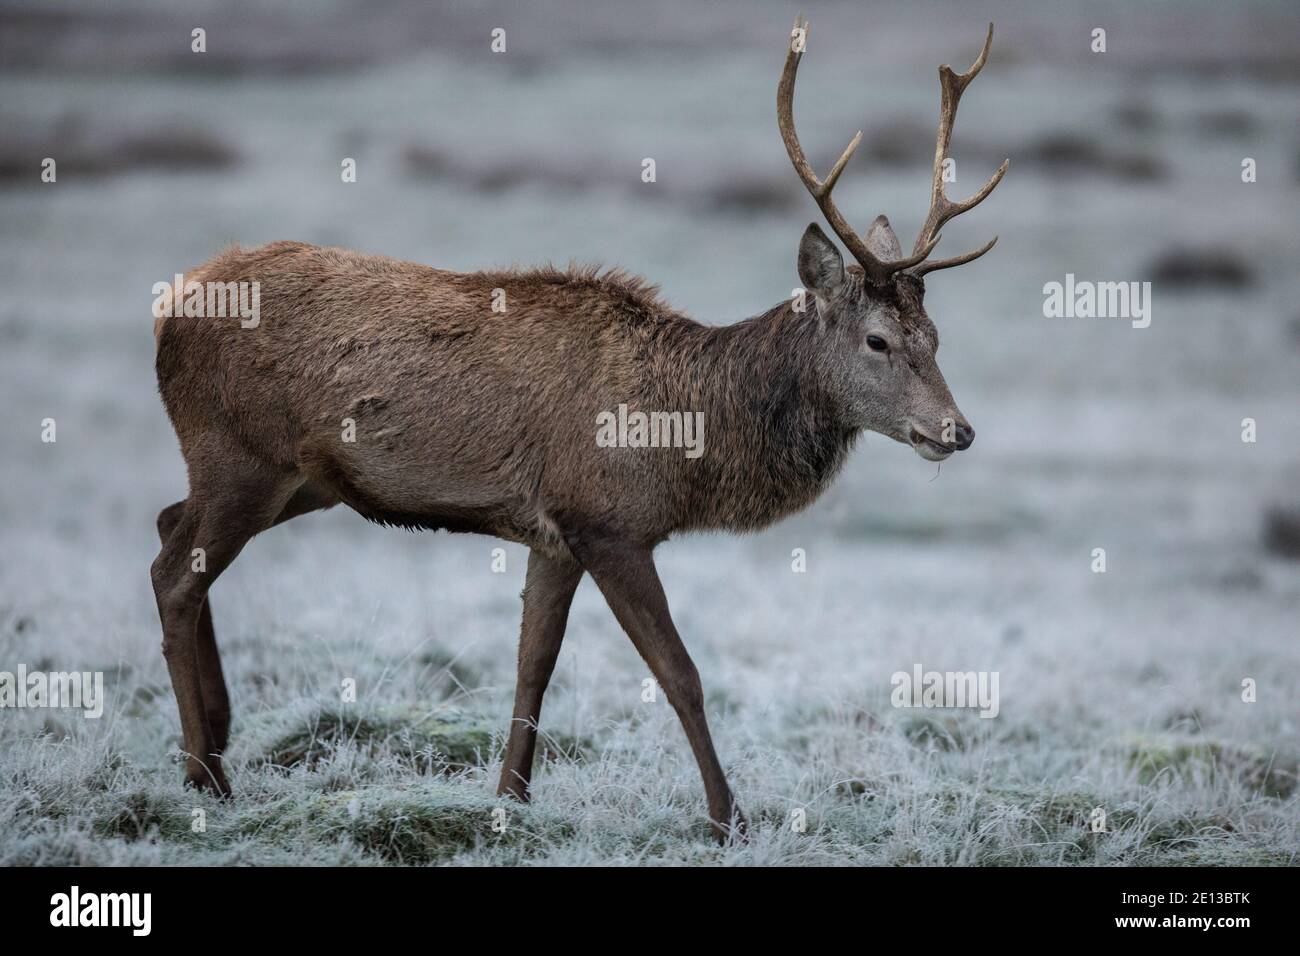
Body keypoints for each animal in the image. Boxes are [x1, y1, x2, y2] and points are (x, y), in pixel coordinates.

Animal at [149, 18, 1003, 842]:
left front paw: (510, 801)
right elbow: (681, 674)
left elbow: (535, 664)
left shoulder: (554, 531)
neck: (686, 438)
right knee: (173, 574)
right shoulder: (609, 522)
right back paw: (206, 776)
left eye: (936, 336)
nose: (957, 430)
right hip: (237, 452)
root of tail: (170, 307)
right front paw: (728, 820)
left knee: (167, 526)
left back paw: (217, 740)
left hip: (300, 480)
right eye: (878, 340)